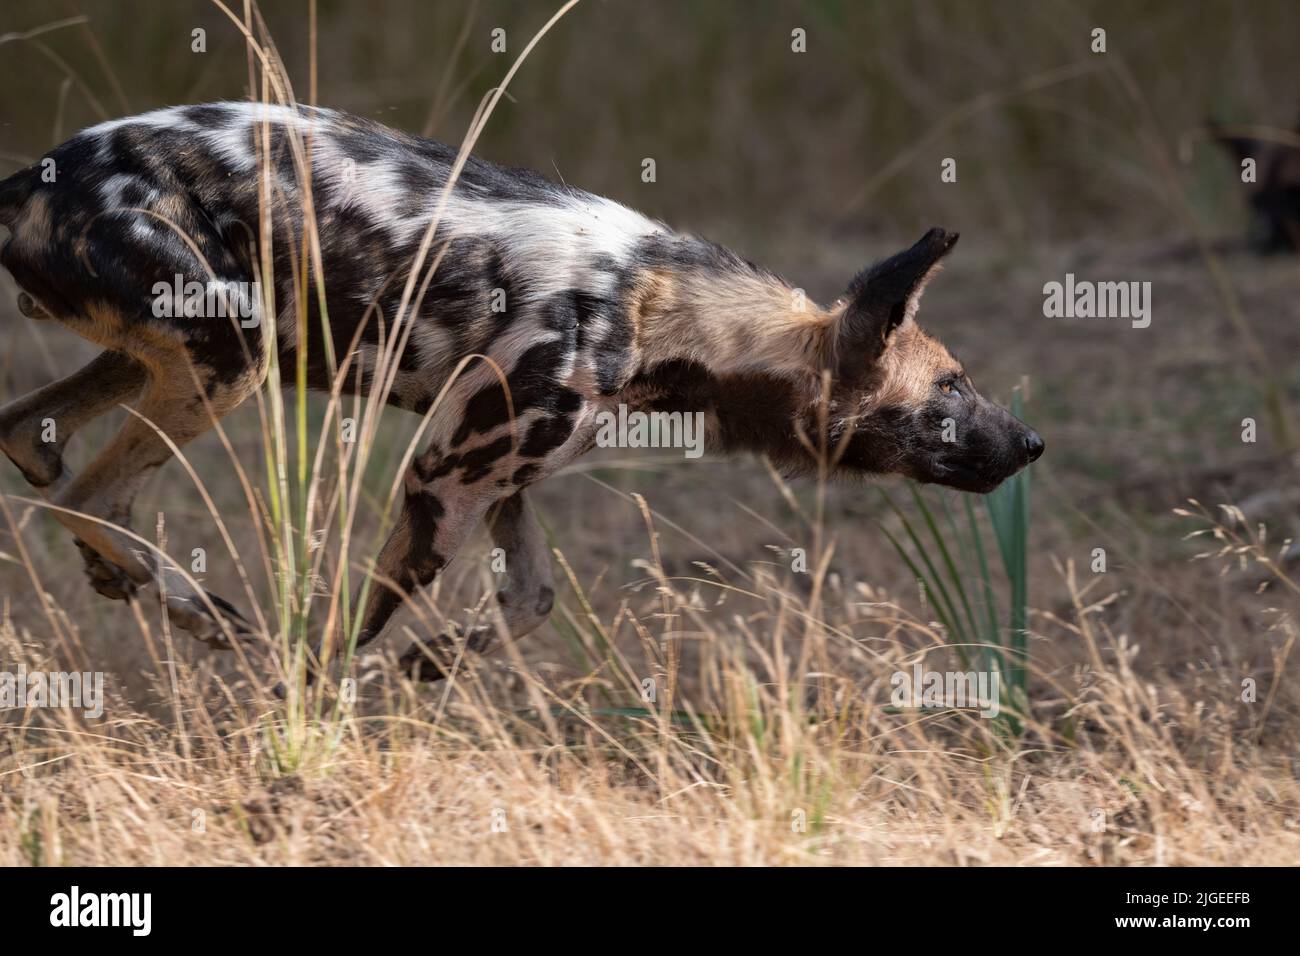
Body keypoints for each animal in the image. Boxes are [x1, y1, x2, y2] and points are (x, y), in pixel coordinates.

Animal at [0, 100, 1040, 676]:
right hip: (229, 356)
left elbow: (531, 602)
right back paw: (187, 603)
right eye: (950, 388)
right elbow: (339, 647)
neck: (661, 307)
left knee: (33, 441)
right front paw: (309, 715)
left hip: (169, 357)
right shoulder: (442, 481)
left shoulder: (503, 482)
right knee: (90, 491)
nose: (1032, 443)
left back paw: (135, 577)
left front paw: (435, 663)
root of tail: (30, 176)